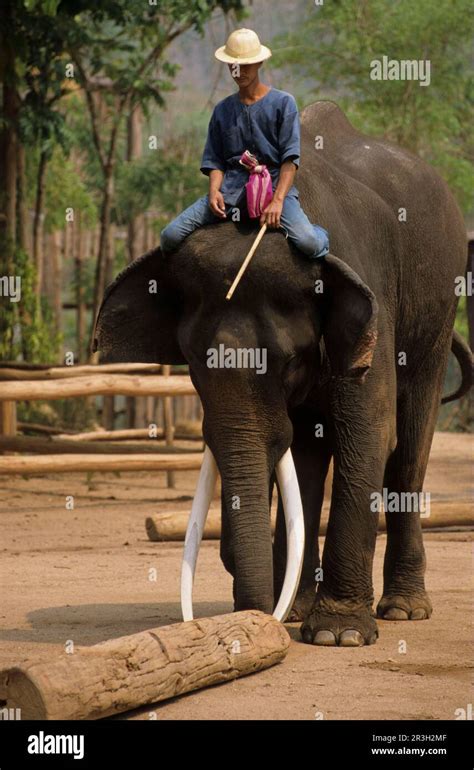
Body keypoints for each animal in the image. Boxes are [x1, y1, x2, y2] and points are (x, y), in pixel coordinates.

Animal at [92, 100, 470, 640]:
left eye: (290, 361)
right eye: (193, 364)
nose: (250, 613)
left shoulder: (375, 310)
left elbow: (369, 430)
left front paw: (340, 635)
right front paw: (285, 613)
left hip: (438, 311)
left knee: (409, 441)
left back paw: (402, 610)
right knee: (309, 450)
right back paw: (296, 609)